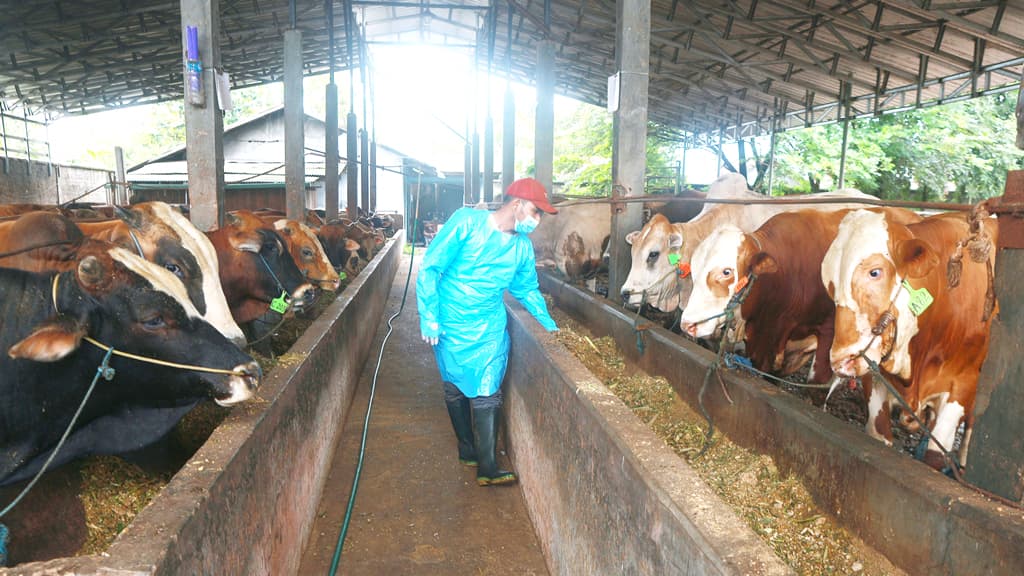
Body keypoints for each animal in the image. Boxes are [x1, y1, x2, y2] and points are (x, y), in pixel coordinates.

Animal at [823, 208, 999, 469]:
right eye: (829, 283)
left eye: (875, 272)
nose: (841, 360)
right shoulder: (874, 375)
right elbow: (878, 434)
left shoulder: (962, 384)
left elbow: (935, 456)